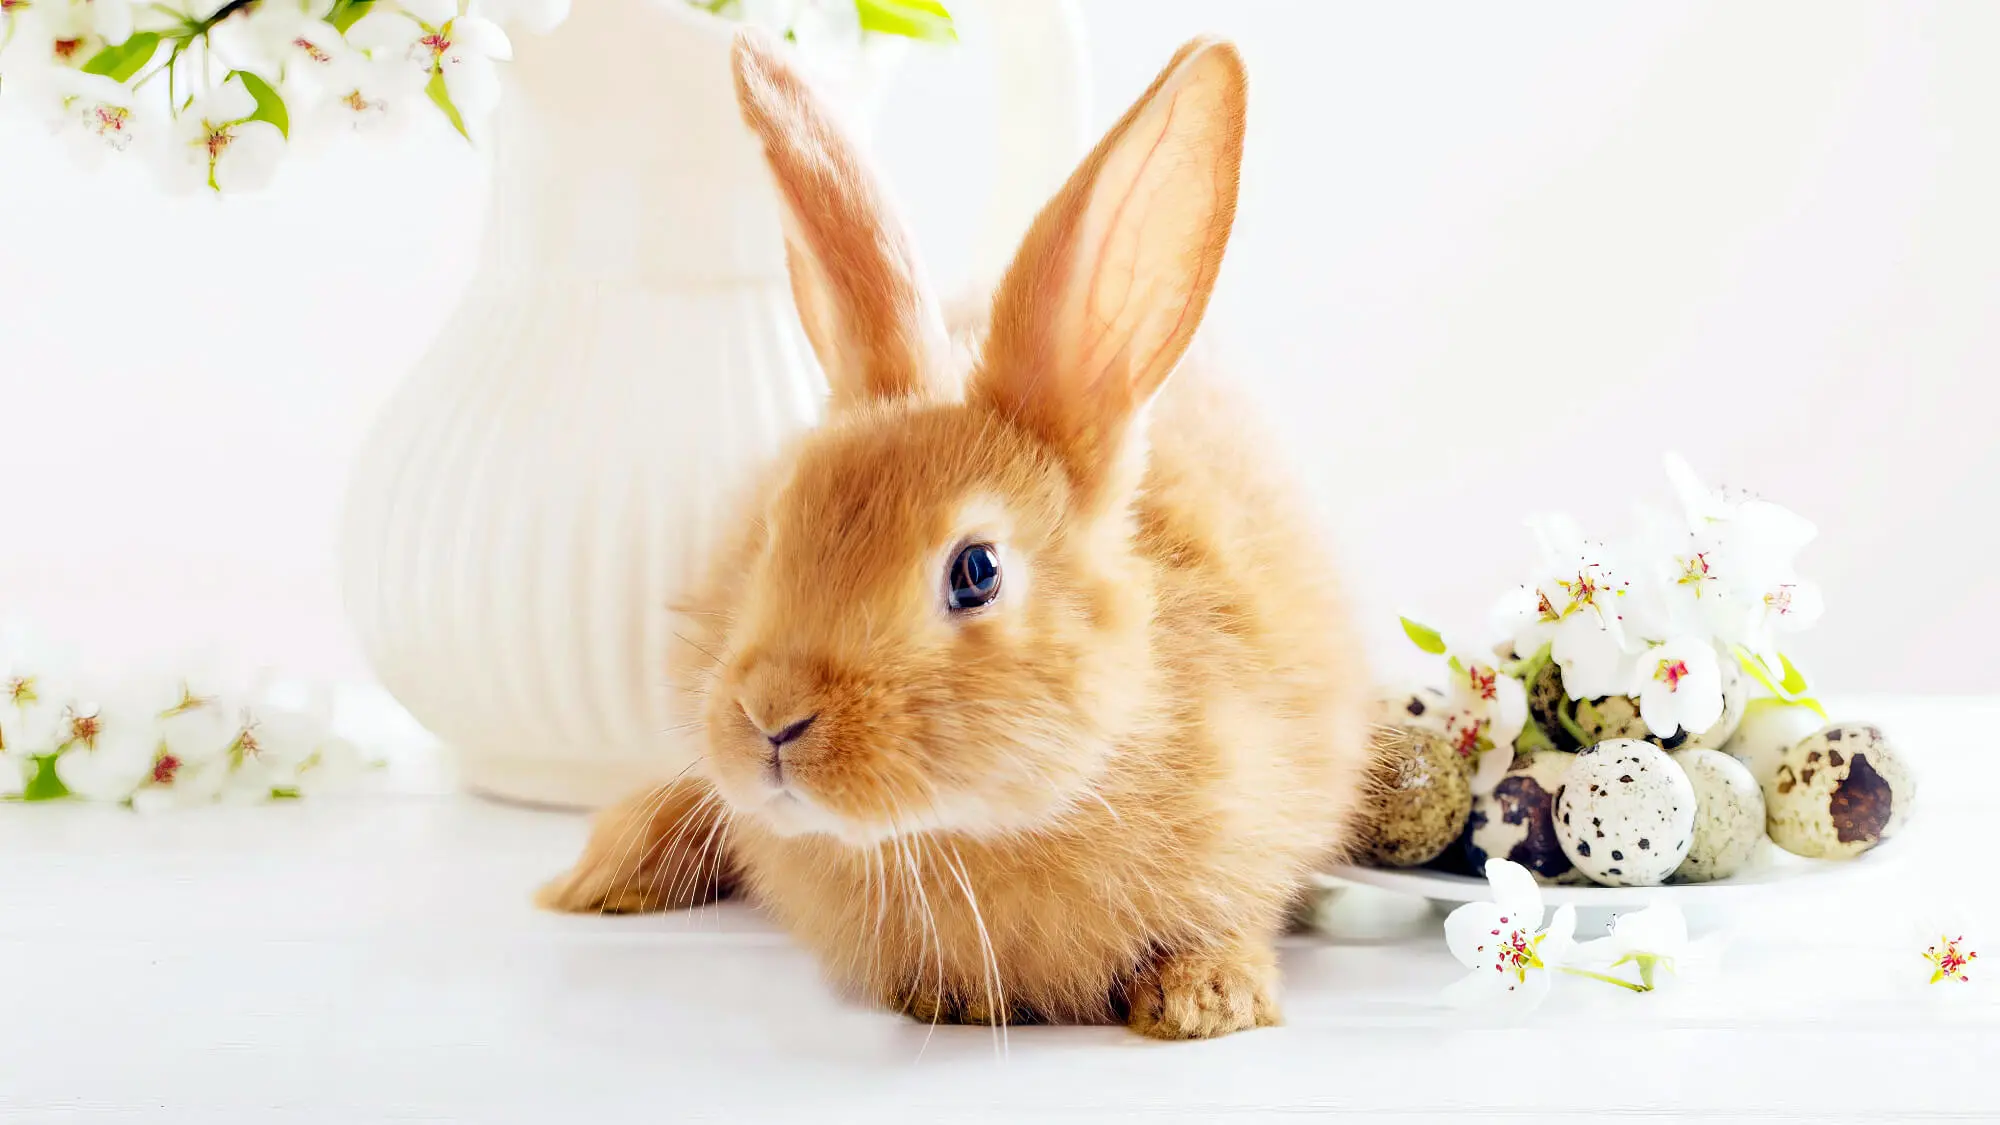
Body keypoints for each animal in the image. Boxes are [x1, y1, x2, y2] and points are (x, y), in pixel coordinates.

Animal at [536, 30, 1373, 1040]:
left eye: (976, 571)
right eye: (774, 531)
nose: (773, 718)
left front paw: (1207, 1001)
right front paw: (957, 994)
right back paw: (601, 877)